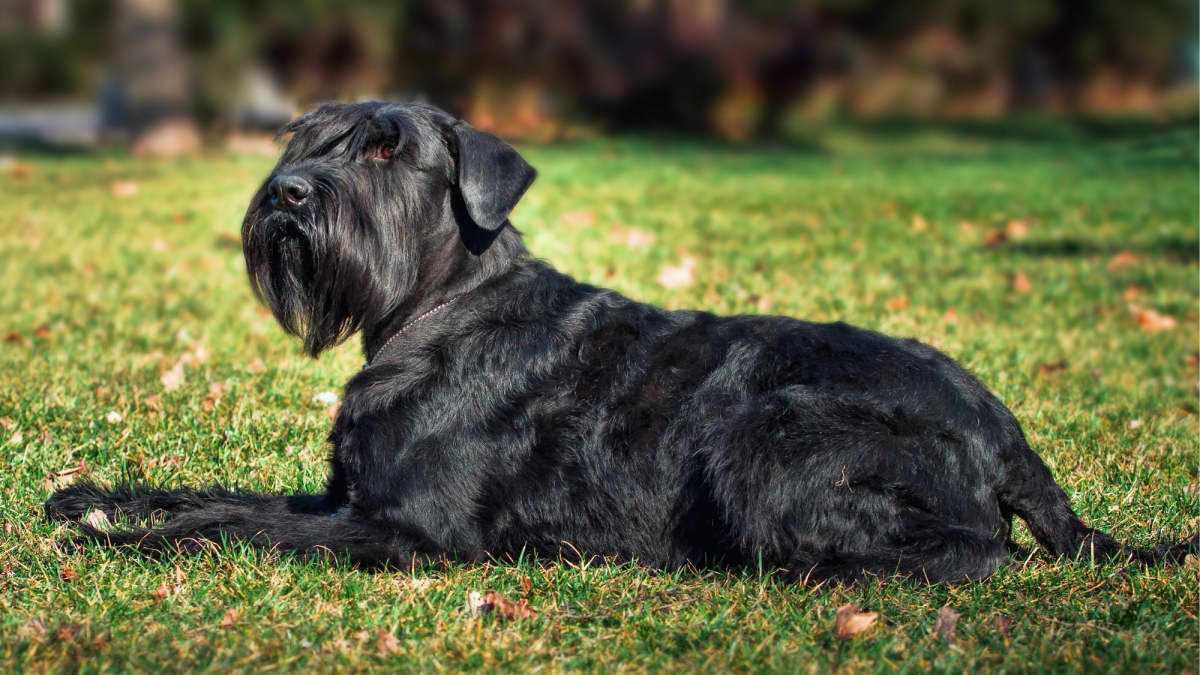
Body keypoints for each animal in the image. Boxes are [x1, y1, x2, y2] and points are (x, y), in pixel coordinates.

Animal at [44, 102, 1190, 581]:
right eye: (307, 139)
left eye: (385, 151)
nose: (286, 193)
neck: (436, 310)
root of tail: (1009, 437)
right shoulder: (351, 498)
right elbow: (220, 496)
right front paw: (96, 498)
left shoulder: (408, 531)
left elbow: (236, 527)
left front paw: (123, 541)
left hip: (771, 436)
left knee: (973, 554)